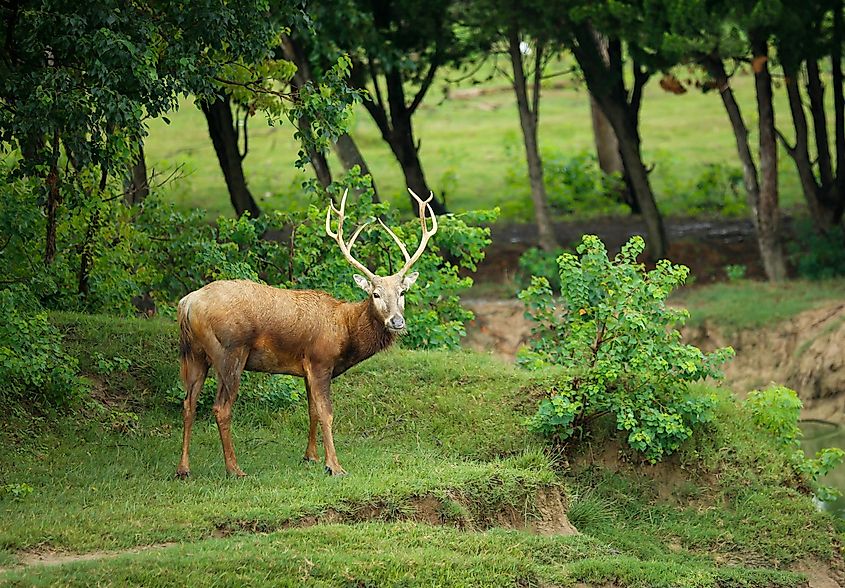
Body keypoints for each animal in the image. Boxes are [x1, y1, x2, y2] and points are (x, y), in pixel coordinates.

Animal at [171, 191, 436, 476]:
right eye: (375, 294)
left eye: (402, 292)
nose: (397, 321)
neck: (345, 331)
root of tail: (187, 303)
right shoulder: (320, 360)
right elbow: (326, 412)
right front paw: (334, 466)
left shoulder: (306, 367)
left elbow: (312, 411)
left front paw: (311, 456)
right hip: (230, 351)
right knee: (221, 407)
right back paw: (234, 469)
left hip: (194, 353)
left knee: (188, 403)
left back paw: (183, 469)